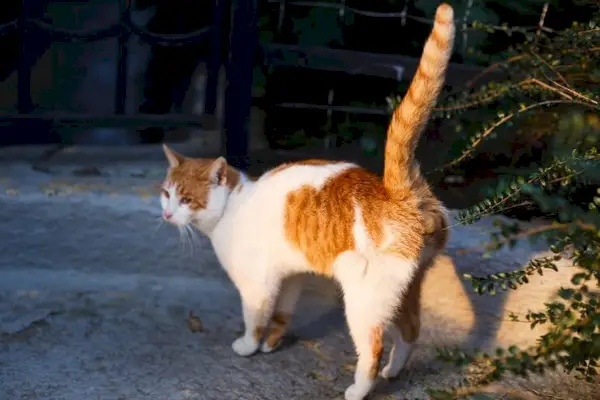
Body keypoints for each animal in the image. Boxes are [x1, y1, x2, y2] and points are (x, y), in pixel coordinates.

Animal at [159, 3, 454, 400]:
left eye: (186, 199)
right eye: (166, 192)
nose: (166, 213)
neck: (236, 205)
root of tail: (396, 191)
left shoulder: (257, 283)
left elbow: (255, 317)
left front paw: (249, 346)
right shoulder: (291, 274)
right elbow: (282, 313)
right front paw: (273, 343)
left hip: (364, 300)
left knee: (373, 348)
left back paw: (360, 388)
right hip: (402, 292)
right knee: (410, 330)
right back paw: (394, 371)